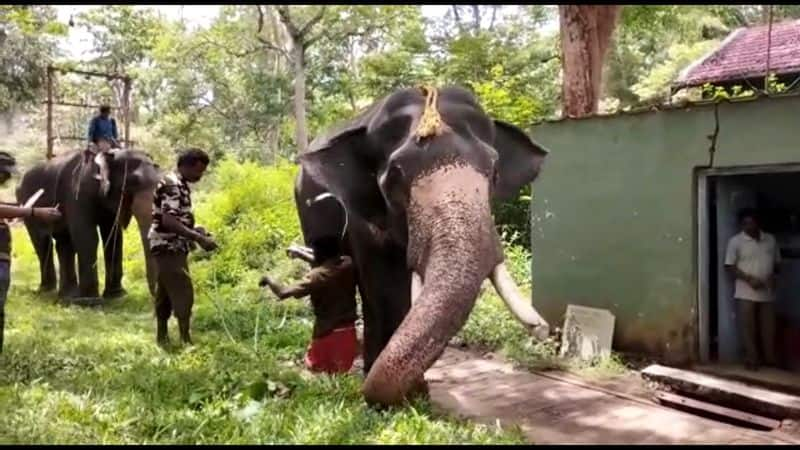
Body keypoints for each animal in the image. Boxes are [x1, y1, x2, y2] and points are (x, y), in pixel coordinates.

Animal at [17, 149, 161, 300]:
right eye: (133, 183)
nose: (154, 298)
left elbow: (114, 237)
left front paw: (117, 296)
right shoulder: (78, 194)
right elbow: (87, 237)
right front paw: (90, 300)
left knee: (64, 243)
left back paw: (67, 295)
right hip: (26, 204)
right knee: (43, 242)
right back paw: (48, 292)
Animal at [296, 86, 552, 406]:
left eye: (494, 170)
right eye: (395, 173)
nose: (544, 330)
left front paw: (415, 394)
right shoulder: (363, 216)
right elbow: (382, 283)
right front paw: (399, 398)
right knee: (327, 265)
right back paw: (327, 367)